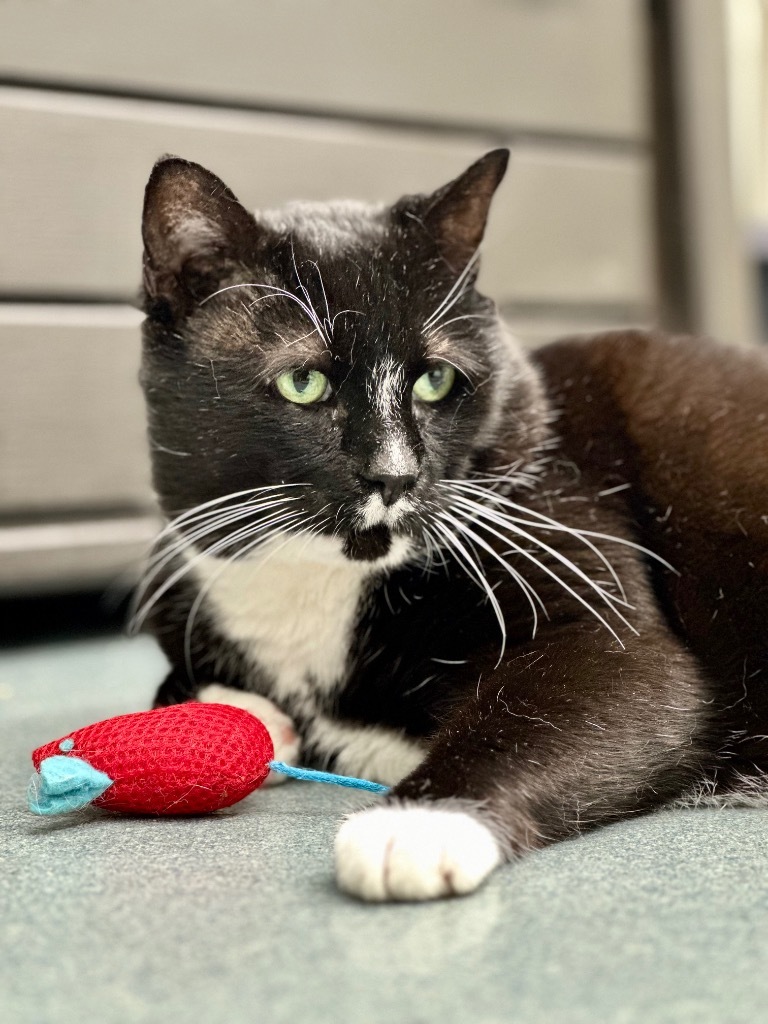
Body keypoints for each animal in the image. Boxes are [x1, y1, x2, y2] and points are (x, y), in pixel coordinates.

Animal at [135, 148, 768, 901]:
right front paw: (228, 711)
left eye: (435, 380)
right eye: (303, 384)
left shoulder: (586, 587)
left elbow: (618, 679)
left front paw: (414, 825)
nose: (394, 475)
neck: (324, 581)